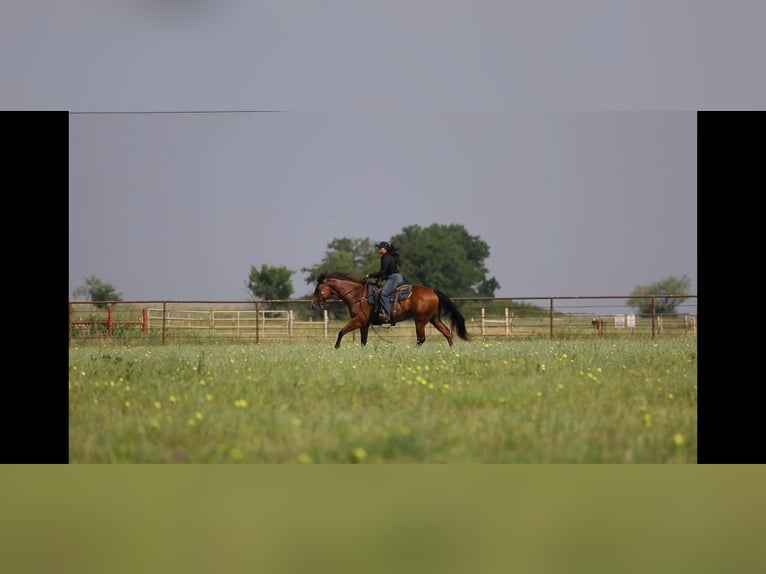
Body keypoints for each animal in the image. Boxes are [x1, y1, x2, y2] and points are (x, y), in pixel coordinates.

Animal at [310, 272, 470, 348]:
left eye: (318, 289)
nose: (313, 305)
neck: (357, 295)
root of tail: (433, 291)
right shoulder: (364, 324)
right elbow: (363, 341)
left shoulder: (358, 320)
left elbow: (341, 331)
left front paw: (336, 347)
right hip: (433, 319)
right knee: (447, 332)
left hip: (420, 321)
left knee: (421, 339)